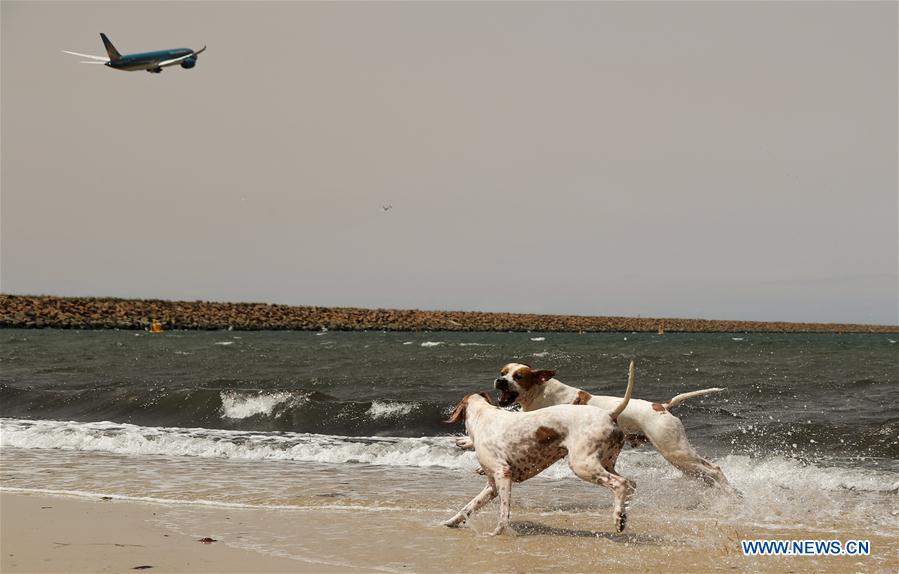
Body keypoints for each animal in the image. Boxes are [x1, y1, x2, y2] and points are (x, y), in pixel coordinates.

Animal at [492, 364, 740, 496]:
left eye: (518, 376)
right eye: (503, 372)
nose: (499, 381)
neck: (540, 392)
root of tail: (662, 406)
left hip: (675, 451)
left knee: (714, 469)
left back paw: (732, 494)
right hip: (679, 457)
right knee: (706, 473)